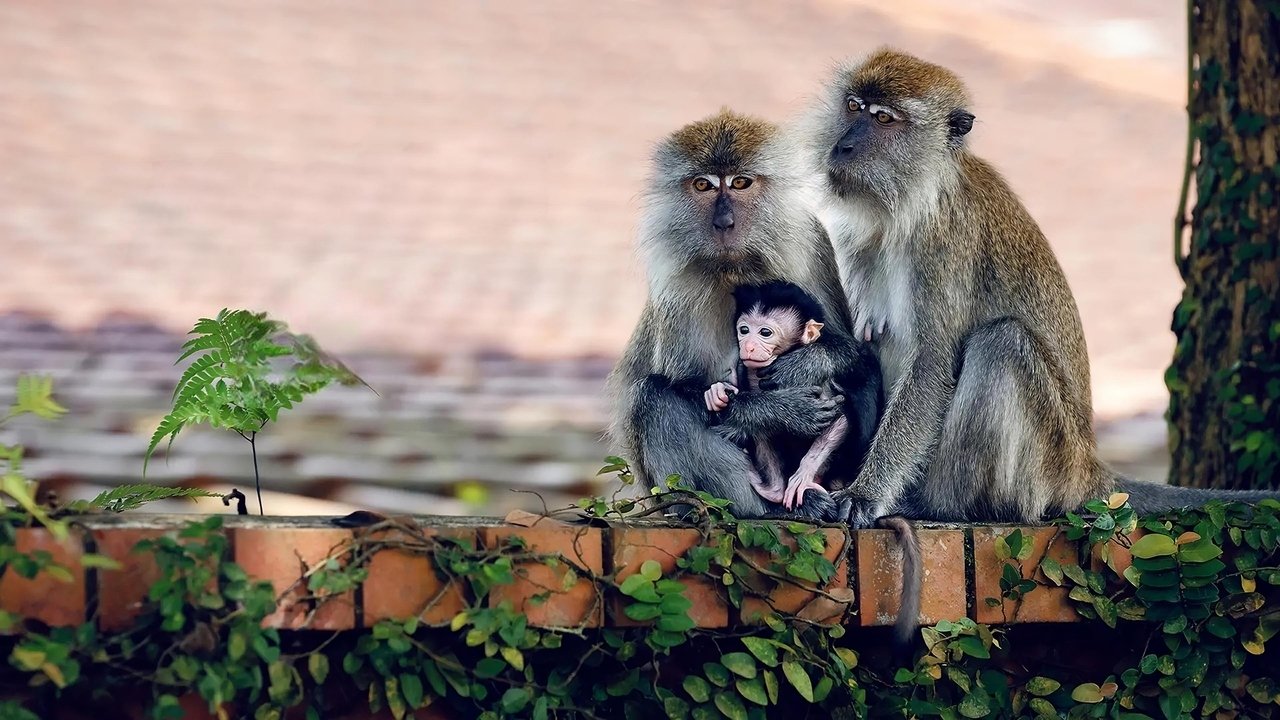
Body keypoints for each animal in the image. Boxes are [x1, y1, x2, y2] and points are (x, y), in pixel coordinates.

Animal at [606, 109, 873, 522]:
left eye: (740, 183)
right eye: (703, 185)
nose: (723, 223)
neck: (734, 268)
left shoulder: (811, 246)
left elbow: (851, 352)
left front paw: (807, 363)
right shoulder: (677, 286)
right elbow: (689, 386)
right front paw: (778, 411)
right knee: (653, 398)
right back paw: (763, 506)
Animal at [797, 47, 1280, 532]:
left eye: (884, 118)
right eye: (854, 106)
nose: (844, 146)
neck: (910, 204)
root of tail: (1089, 467)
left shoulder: (944, 244)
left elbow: (931, 365)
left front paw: (864, 494)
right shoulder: (858, 240)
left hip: (1049, 464)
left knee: (1003, 343)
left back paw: (941, 504)